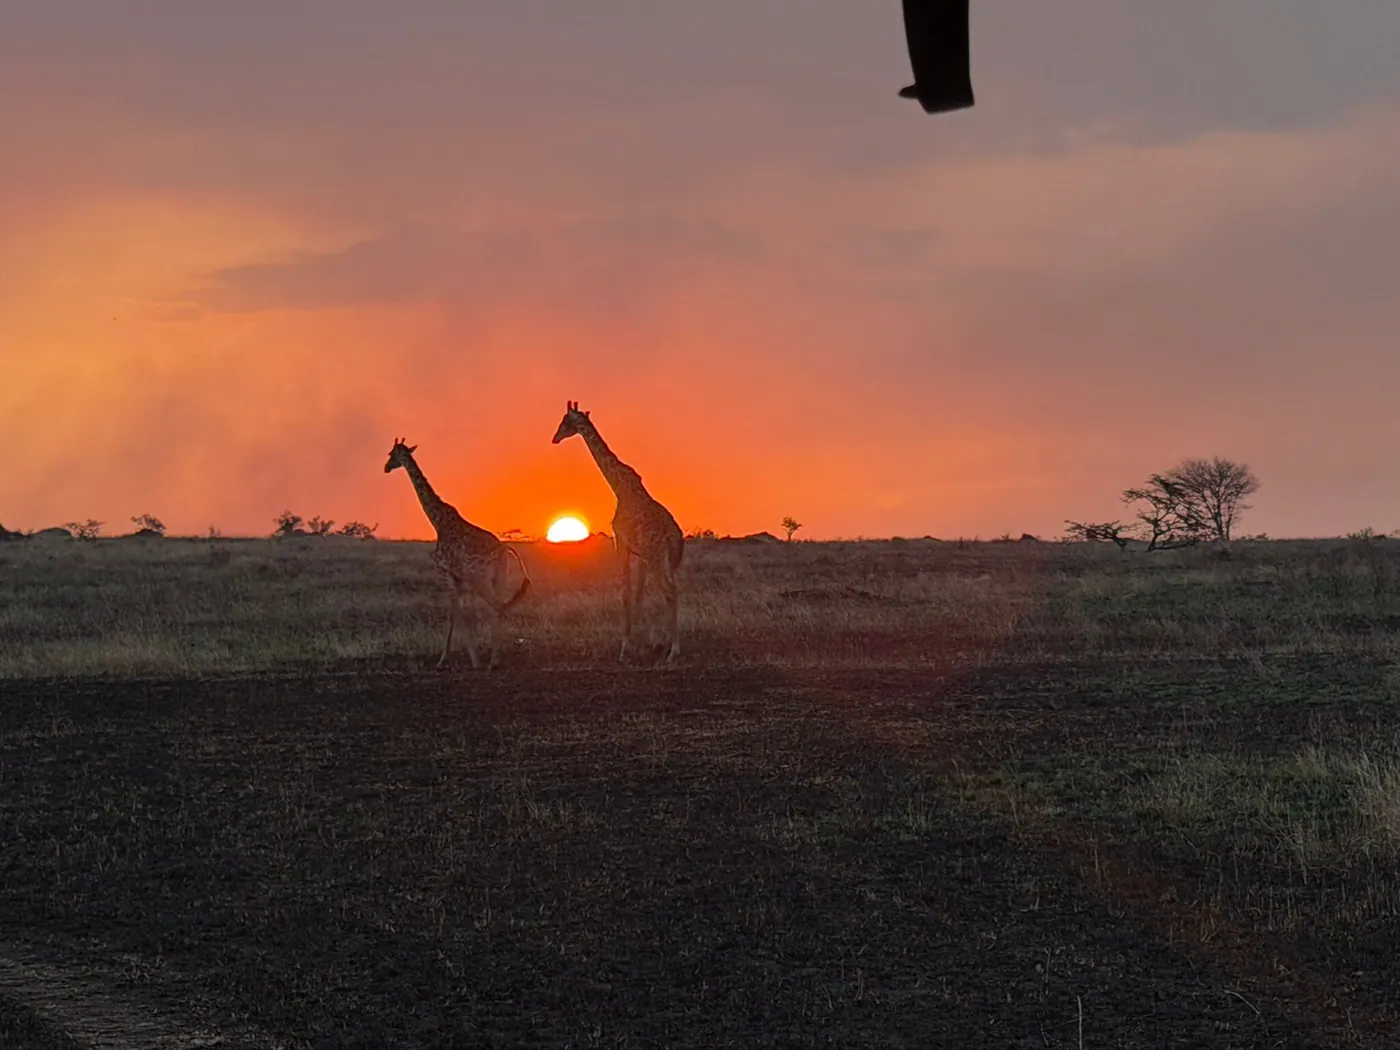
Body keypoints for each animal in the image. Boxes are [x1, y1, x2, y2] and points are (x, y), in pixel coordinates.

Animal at [384, 439, 530, 669]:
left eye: (392, 454)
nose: (386, 467)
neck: (437, 521)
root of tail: (504, 550)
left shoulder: (447, 573)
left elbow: (454, 613)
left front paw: (448, 660)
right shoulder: (460, 580)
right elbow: (462, 612)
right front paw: (467, 657)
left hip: (481, 580)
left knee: (498, 606)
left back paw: (492, 662)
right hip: (499, 579)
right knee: (503, 605)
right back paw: (497, 657)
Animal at [551, 402, 684, 662]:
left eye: (565, 422)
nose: (554, 438)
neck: (619, 487)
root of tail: (674, 536)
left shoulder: (621, 544)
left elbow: (625, 593)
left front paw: (626, 648)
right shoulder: (639, 553)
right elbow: (638, 594)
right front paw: (649, 643)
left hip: (656, 557)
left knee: (669, 592)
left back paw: (674, 651)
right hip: (667, 560)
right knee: (675, 589)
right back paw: (668, 644)